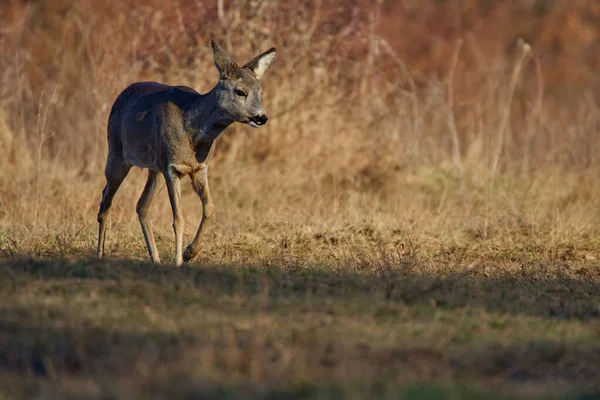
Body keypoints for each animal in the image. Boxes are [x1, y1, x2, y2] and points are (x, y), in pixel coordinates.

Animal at [96, 39, 276, 266]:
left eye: (260, 92)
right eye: (240, 91)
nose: (262, 117)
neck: (193, 133)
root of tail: (121, 95)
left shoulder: (199, 168)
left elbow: (210, 208)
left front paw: (190, 252)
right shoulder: (172, 168)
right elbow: (178, 218)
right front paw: (179, 261)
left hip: (154, 168)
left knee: (142, 206)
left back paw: (155, 260)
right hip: (117, 153)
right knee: (106, 199)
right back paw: (99, 254)